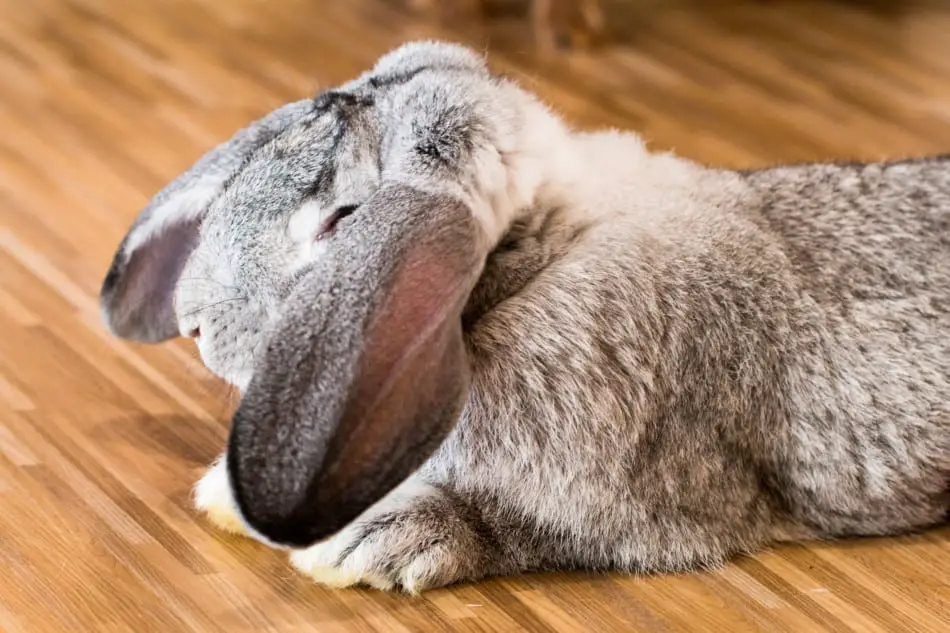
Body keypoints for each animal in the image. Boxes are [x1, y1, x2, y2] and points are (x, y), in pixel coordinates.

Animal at [98, 40, 950, 592]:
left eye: (343, 221)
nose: (197, 322)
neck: (540, 258)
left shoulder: (643, 500)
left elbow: (526, 526)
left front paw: (372, 544)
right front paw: (227, 496)